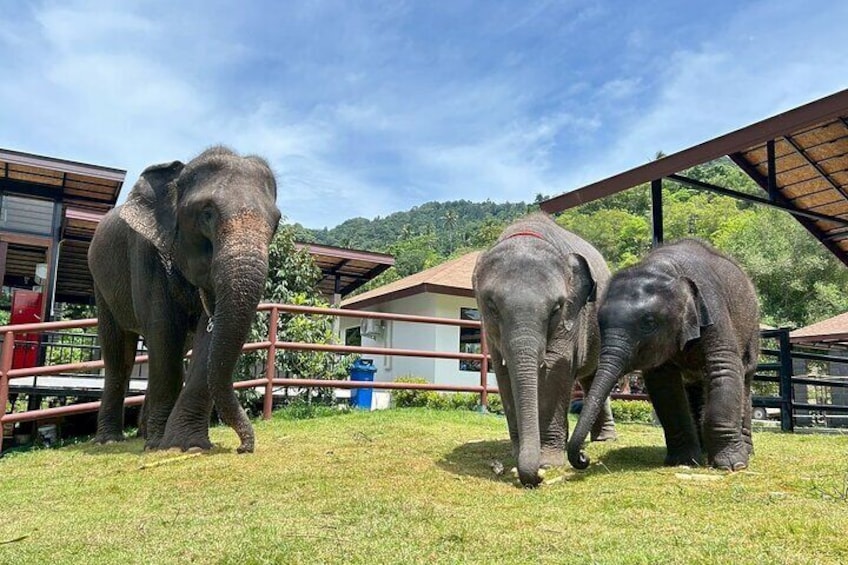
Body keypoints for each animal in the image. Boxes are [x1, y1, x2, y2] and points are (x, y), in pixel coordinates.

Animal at [88, 146, 281, 453]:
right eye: (207, 213)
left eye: (276, 223)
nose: (243, 448)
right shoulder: (145, 251)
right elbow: (163, 329)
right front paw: (163, 446)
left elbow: (205, 338)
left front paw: (187, 445)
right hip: (100, 284)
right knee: (120, 355)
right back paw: (110, 439)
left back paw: (144, 433)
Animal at [473, 213, 617, 487]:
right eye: (492, 306)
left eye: (556, 308)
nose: (537, 478)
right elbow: (504, 374)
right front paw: (518, 455)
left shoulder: (573, 316)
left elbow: (555, 369)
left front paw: (548, 462)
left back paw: (606, 440)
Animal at [568, 238, 760, 472]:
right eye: (599, 323)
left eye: (649, 323)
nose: (583, 458)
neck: (666, 268)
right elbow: (664, 385)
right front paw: (683, 461)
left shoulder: (713, 308)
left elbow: (723, 369)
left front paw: (732, 465)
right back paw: (703, 451)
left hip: (752, 330)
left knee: (745, 378)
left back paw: (745, 451)